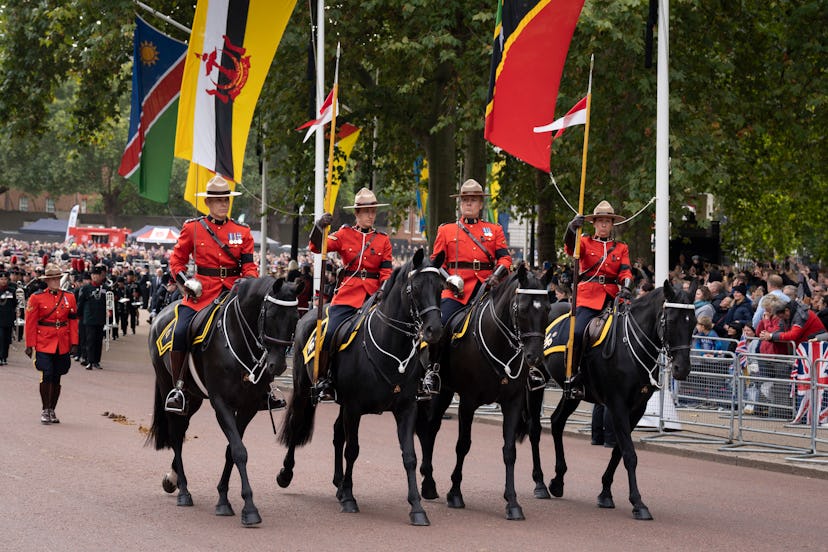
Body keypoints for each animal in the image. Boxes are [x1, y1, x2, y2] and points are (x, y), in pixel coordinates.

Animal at [146, 276, 300, 528]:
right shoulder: (221, 404)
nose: (276, 365)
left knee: (182, 428)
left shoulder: (248, 407)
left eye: (295, 318)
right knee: (176, 436)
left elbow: (232, 450)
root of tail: (162, 313)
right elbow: (239, 451)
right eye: (270, 314)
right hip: (168, 384)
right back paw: (183, 491)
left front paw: (223, 498)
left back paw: (172, 478)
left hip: (193, 398)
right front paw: (249, 508)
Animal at [278, 250, 446, 528]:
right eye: (414, 288)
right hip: (304, 390)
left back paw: (338, 483)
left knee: (337, 433)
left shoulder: (406, 408)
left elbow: (409, 456)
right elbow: (353, 450)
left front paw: (417, 507)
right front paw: (349, 498)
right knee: (297, 426)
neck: (391, 347)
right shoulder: (354, 407)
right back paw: (286, 474)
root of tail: (311, 312)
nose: (434, 331)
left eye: (441, 288)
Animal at [420, 266, 548, 520]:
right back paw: (428, 484)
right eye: (523, 308)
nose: (535, 357)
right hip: (441, 391)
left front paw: (512, 502)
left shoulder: (513, 402)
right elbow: (463, 444)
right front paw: (455, 493)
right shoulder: (468, 402)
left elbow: (509, 451)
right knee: (431, 429)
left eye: (548, 308)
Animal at [536, 278, 700, 520]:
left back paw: (557, 481)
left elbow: (618, 451)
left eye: (693, 322)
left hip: (572, 393)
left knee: (556, 422)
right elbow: (629, 454)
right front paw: (638, 503)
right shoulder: (617, 405)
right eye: (670, 320)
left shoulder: (637, 409)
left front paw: (605, 493)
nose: (683, 368)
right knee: (534, 427)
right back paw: (539, 483)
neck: (631, 346)